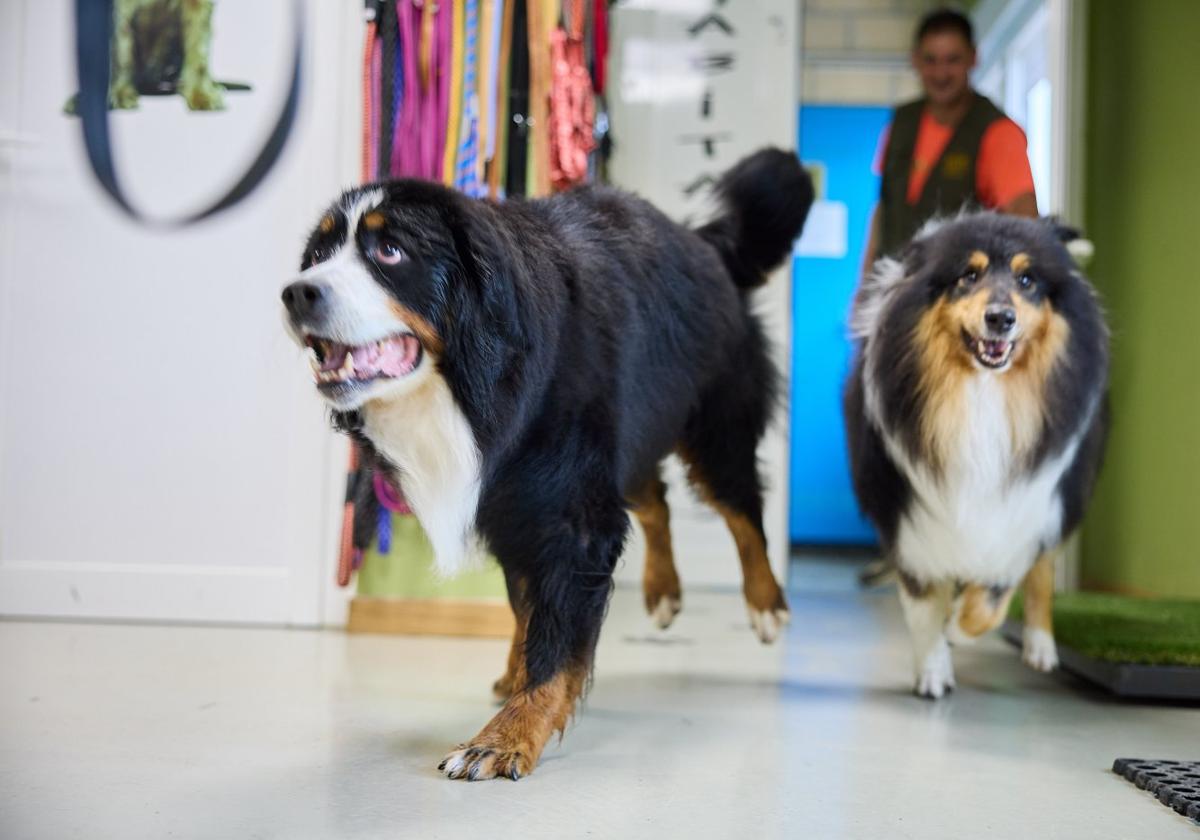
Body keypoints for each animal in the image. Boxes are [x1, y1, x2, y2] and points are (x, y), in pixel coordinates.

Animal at [278, 149, 816, 782]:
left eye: (390, 251)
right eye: (318, 256)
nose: (296, 293)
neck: (474, 382)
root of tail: (703, 239)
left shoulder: (570, 512)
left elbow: (556, 637)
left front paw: (506, 734)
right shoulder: (511, 502)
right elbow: (528, 605)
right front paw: (516, 674)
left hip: (714, 431)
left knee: (741, 510)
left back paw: (765, 603)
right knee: (655, 499)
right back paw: (662, 590)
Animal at [844, 213, 1104, 700]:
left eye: (1027, 280)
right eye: (968, 275)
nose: (1000, 318)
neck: (982, 392)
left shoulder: (1020, 507)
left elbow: (994, 596)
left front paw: (961, 627)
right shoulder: (907, 513)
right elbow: (923, 602)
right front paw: (932, 669)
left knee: (1043, 567)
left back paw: (1040, 645)